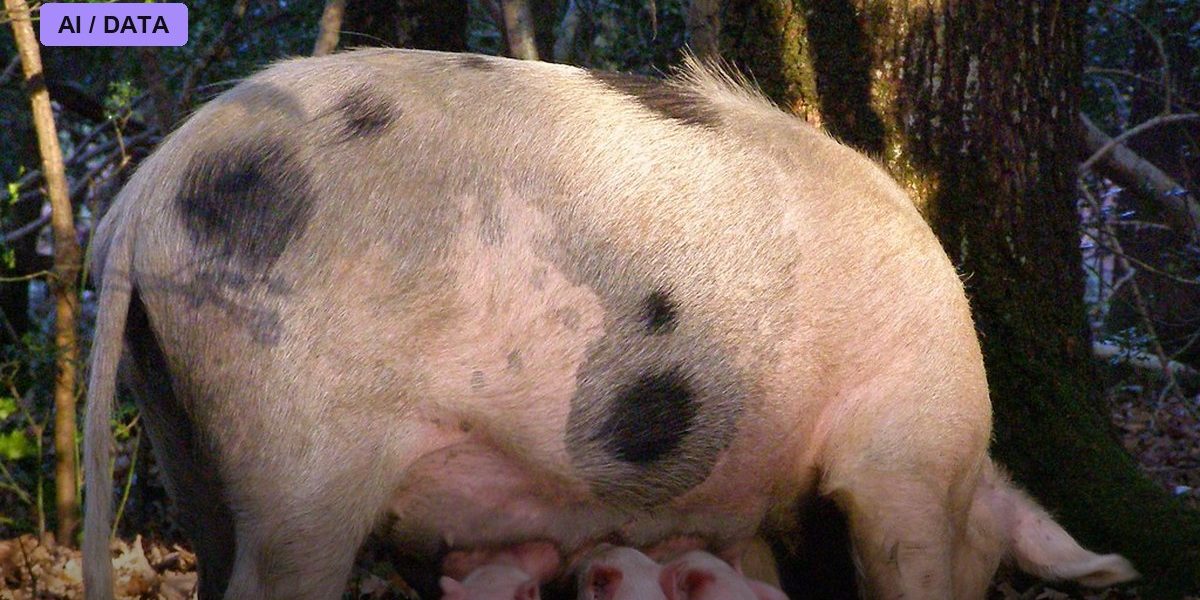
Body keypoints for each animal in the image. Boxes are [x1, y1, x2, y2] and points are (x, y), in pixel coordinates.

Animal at [82, 48, 1137, 600]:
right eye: (995, 570)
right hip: (299, 449)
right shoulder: (902, 455)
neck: (968, 475)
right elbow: (899, 562)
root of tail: (142, 199)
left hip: (188, 426)